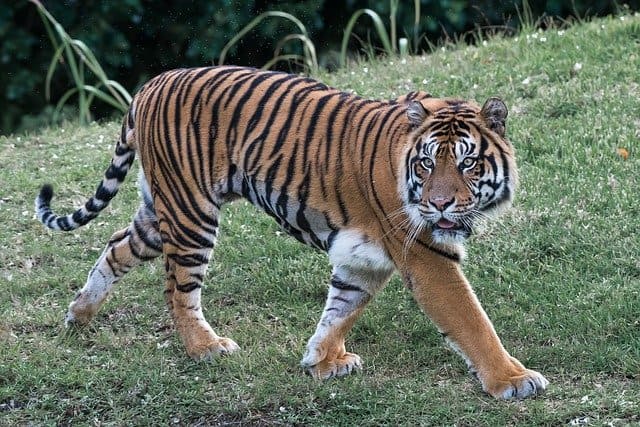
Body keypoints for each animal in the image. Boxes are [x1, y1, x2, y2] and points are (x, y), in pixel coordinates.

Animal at [35, 65, 548, 399]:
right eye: (426, 163)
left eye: (467, 162)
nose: (440, 204)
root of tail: (149, 85)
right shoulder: (426, 255)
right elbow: (471, 319)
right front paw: (513, 380)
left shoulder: (362, 257)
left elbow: (342, 308)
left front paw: (322, 360)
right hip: (190, 214)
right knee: (178, 289)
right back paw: (205, 348)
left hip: (160, 213)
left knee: (116, 246)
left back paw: (79, 315)